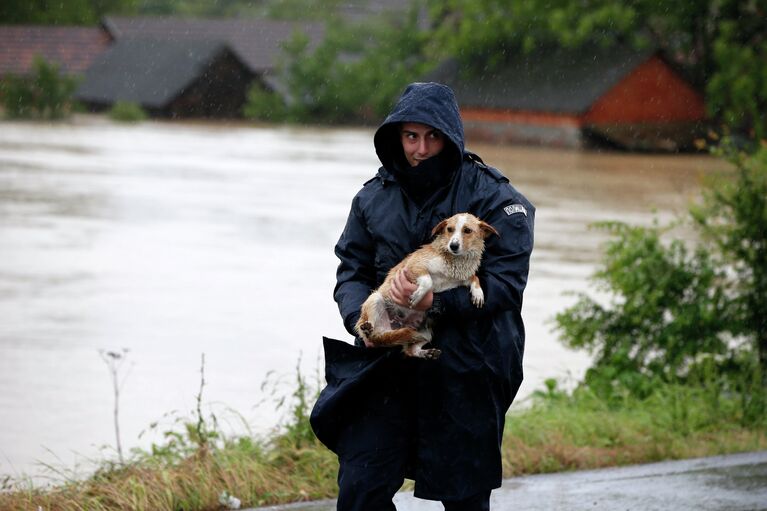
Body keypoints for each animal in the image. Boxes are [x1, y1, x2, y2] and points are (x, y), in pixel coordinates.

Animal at [354, 212, 498, 360]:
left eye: (467, 230)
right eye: (449, 229)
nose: (453, 245)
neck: (454, 261)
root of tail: (396, 327)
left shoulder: (461, 278)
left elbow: (474, 277)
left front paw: (478, 293)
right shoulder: (415, 265)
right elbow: (428, 280)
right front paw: (418, 295)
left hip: (425, 333)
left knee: (410, 349)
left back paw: (426, 352)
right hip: (375, 299)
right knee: (372, 335)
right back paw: (368, 329)